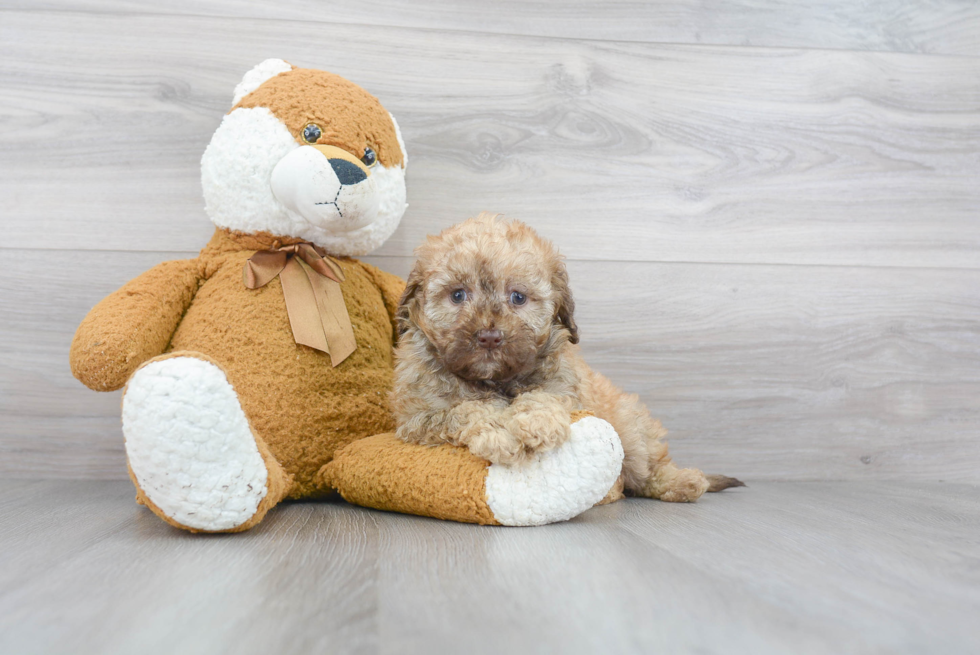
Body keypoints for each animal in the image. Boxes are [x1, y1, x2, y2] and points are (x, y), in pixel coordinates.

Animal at [392, 213, 744, 504]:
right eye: (457, 295)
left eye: (517, 297)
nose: (489, 336)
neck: (495, 379)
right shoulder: (418, 418)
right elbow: (464, 410)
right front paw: (499, 431)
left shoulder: (565, 386)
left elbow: (543, 396)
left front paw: (536, 423)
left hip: (632, 433)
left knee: (648, 469)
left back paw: (684, 482)